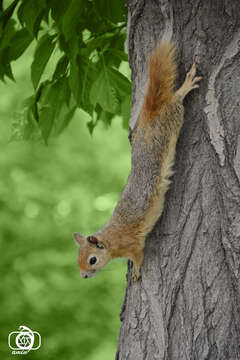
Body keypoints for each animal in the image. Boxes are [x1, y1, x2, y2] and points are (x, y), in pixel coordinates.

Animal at [74, 41, 202, 282]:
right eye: (78, 259)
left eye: (92, 260)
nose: (84, 276)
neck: (113, 238)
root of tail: (151, 115)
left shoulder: (133, 243)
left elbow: (138, 255)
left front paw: (136, 270)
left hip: (173, 118)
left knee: (176, 100)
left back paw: (186, 86)